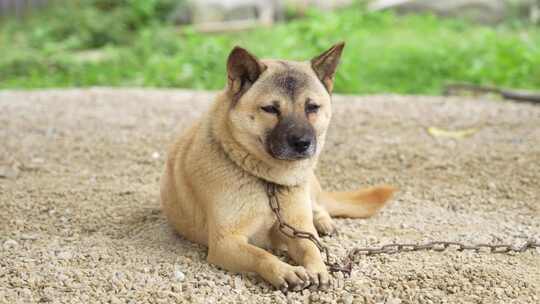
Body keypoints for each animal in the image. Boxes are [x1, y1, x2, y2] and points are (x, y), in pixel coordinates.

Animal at [158, 42, 394, 290]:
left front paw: (318, 268)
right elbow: (261, 255)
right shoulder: (226, 242)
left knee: (318, 207)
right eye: (270, 109)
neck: (268, 183)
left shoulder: (297, 231)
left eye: (312, 107)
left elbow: (311, 248)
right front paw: (285, 271)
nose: (302, 143)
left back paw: (323, 222)